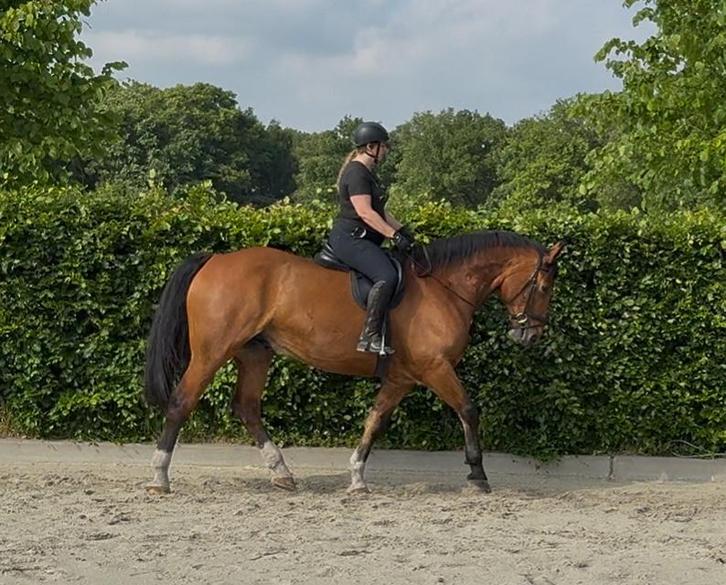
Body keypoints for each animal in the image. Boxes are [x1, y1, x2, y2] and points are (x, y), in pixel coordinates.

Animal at [143, 230, 565, 495]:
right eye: (544, 287)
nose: (530, 335)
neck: (444, 290)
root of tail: (215, 259)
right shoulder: (435, 368)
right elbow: (469, 410)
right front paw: (477, 475)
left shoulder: (401, 379)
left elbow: (374, 422)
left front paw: (358, 478)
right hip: (212, 352)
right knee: (181, 402)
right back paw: (160, 477)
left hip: (255, 353)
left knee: (246, 407)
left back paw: (282, 473)